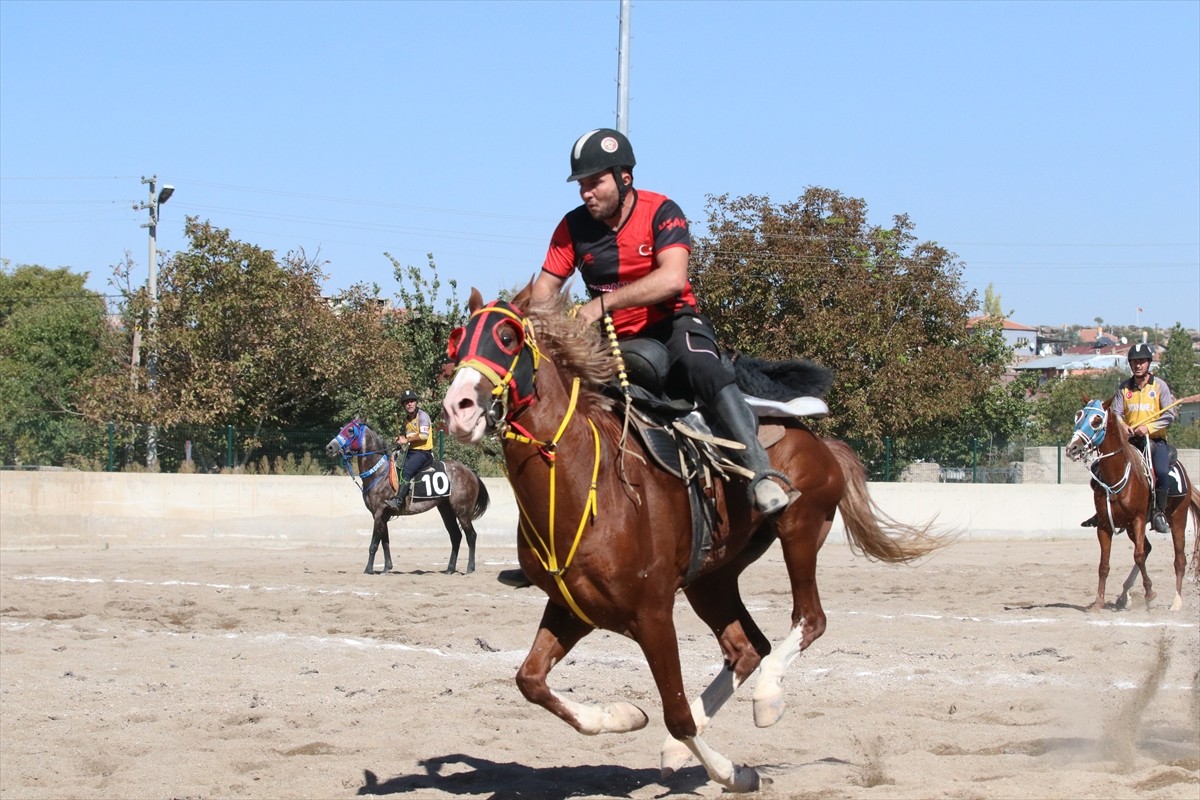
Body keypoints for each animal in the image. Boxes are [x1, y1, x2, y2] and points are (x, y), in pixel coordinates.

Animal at [326, 419, 489, 575]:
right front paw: (387, 568)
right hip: (446, 510)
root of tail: (471, 473)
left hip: (462, 512)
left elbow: (374, 544)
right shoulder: (382, 516)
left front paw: (368, 569)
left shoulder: (378, 513)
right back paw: (450, 569)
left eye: (350, 430)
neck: (379, 473)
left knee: (471, 535)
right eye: (342, 428)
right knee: (456, 536)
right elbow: (385, 542)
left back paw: (470, 568)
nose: (330, 447)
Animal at [439, 289, 945, 796]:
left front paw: (736, 773)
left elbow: (676, 712)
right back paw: (678, 749)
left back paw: (767, 696)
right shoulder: (573, 608)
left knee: (809, 619)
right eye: (458, 340)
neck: (588, 484)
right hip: (711, 578)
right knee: (746, 648)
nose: (457, 408)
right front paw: (624, 715)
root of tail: (820, 441)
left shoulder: (652, 614)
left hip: (800, 529)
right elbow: (530, 680)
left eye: (507, 337)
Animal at [1065, 398, 1195, 614]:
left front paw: (1150, 594)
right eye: (1079, 415)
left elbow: (1139, 556)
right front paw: (1098, 603)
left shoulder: (1139, 519)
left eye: (1097, 420)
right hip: (1129, 528)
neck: (1117, 475)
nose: (1072, 448)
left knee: (1179, 560)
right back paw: (1124, 596)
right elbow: (1104, 565)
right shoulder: (1104, 526)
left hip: (1177, 518)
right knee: (1148, 548)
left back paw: (1176, 601)